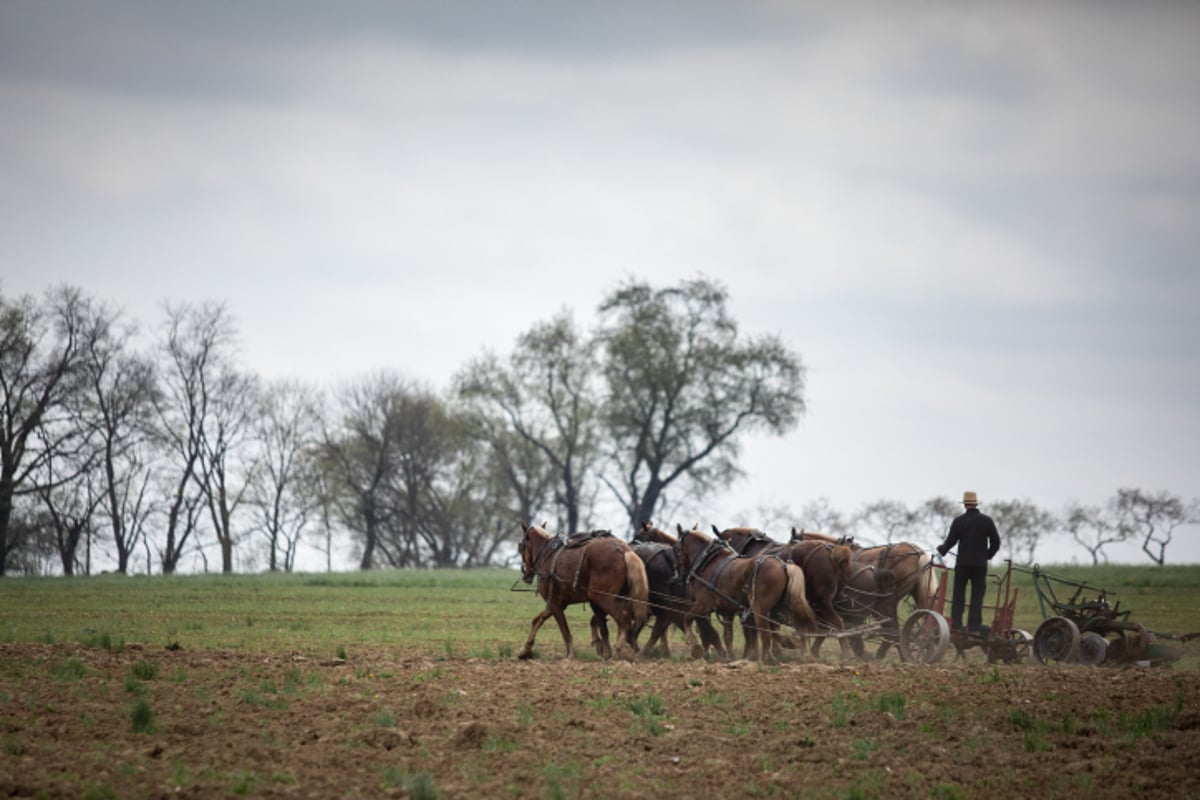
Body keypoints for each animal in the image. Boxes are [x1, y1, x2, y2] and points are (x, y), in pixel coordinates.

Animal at [516, 522, 648, 662]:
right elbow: (537, 620)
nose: (526, 575)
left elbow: (564, 630)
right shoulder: (558, 603)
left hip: (602, 597)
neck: (547, 554)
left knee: (623, 617)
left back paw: (619, 648)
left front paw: (570, 655)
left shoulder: (554, 603)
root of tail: (624, 550)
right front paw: (525, 650)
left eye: (521, 547)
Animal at [676, 525, 816, 662]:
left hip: (760, 609)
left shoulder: (703, 605)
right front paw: (730, 658)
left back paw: (763, 660)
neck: (709, 561)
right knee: (798, 628)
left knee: (766, 633)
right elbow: (728, 636)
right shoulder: (727, 612)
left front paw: (694, 647)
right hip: (784, 607)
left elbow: (687, 618)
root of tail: (784, 566)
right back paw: (803, 653)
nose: (679, 575)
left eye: (677, 548)